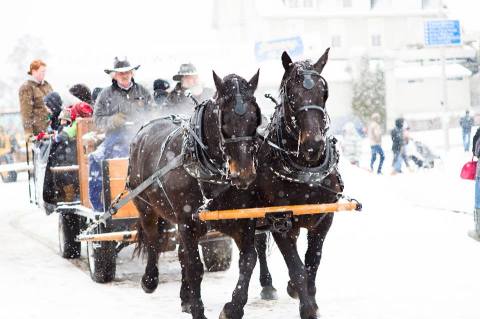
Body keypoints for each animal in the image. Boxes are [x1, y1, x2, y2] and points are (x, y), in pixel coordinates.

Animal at [127, 72, 260, 319]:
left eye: (255, 118)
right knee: (153, 239)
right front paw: (199, 310)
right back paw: (150, 280)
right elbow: (195, 267)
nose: (244, 173)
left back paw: (185, 297)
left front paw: (232, 308)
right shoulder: (187, 221)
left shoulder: (240, 220)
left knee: (180, 252)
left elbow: (248, 260)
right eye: (224, 120)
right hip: (145, 205)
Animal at [255, 48, 344, 319]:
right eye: (291, 96)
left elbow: (312, 259)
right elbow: (296, 266)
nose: (313, 145)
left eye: (324, 93)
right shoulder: (281, 222)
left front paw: (306, 294)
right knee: (258, 245)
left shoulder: (324, 218)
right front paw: (307, 306)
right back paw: (267, 284)